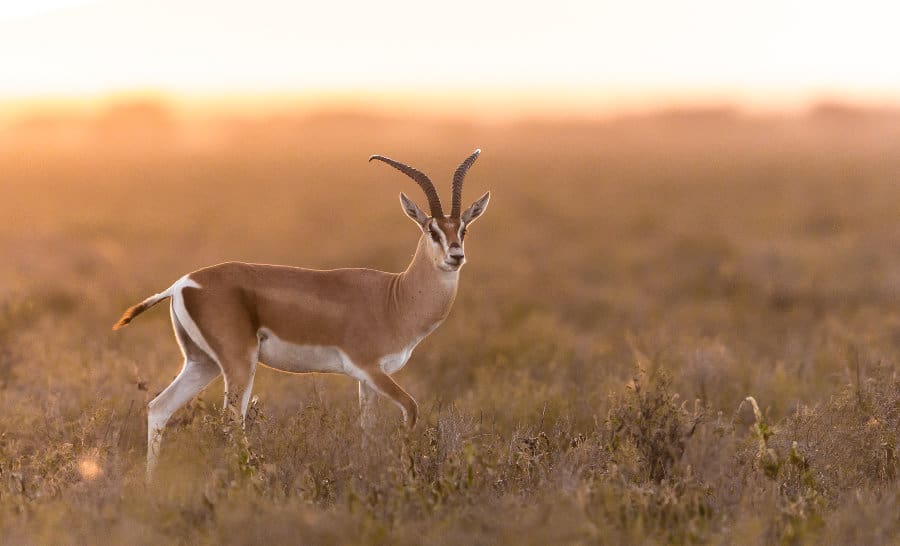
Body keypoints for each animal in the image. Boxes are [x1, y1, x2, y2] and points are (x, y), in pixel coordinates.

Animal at [113, 150, 490, 473]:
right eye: (431, 229)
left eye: (463, 229)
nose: (456, 255)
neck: (394, 298)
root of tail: (181, 284)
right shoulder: (369, 368)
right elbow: (411, 408)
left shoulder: (368, 379)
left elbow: (367, 429)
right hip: (239, 363)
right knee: (232, 420)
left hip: (201, 363)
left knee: (159, 408)